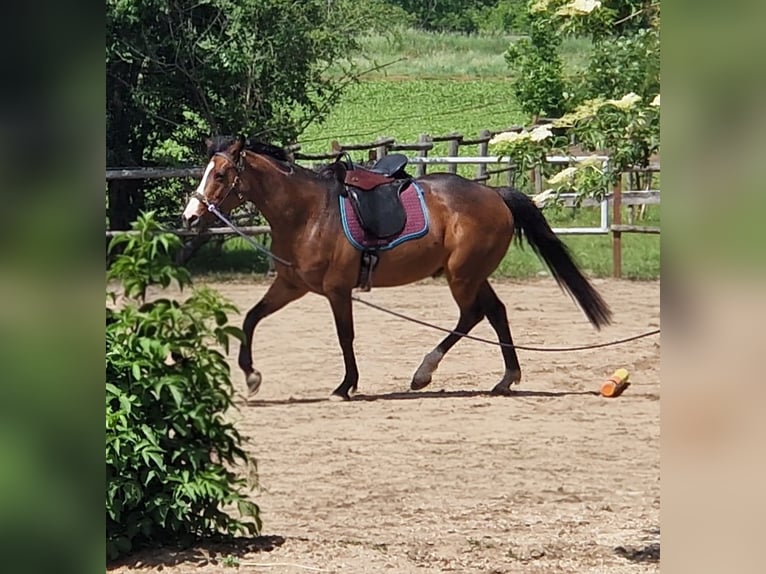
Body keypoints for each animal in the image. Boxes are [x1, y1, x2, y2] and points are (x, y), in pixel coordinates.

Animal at [181, 135, 612, 400]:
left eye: (221, 174)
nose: (190, 217)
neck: (308, 213)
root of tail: (494, 193)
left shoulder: (337, 290)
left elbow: (345, 336)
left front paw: (346, 385)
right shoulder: (291, 285)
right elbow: (251, 318)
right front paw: (251, 375)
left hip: (462, 276)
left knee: (474, 314)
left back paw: (426, 372)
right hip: (471, 275)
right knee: (494, 312)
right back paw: (504, 378)